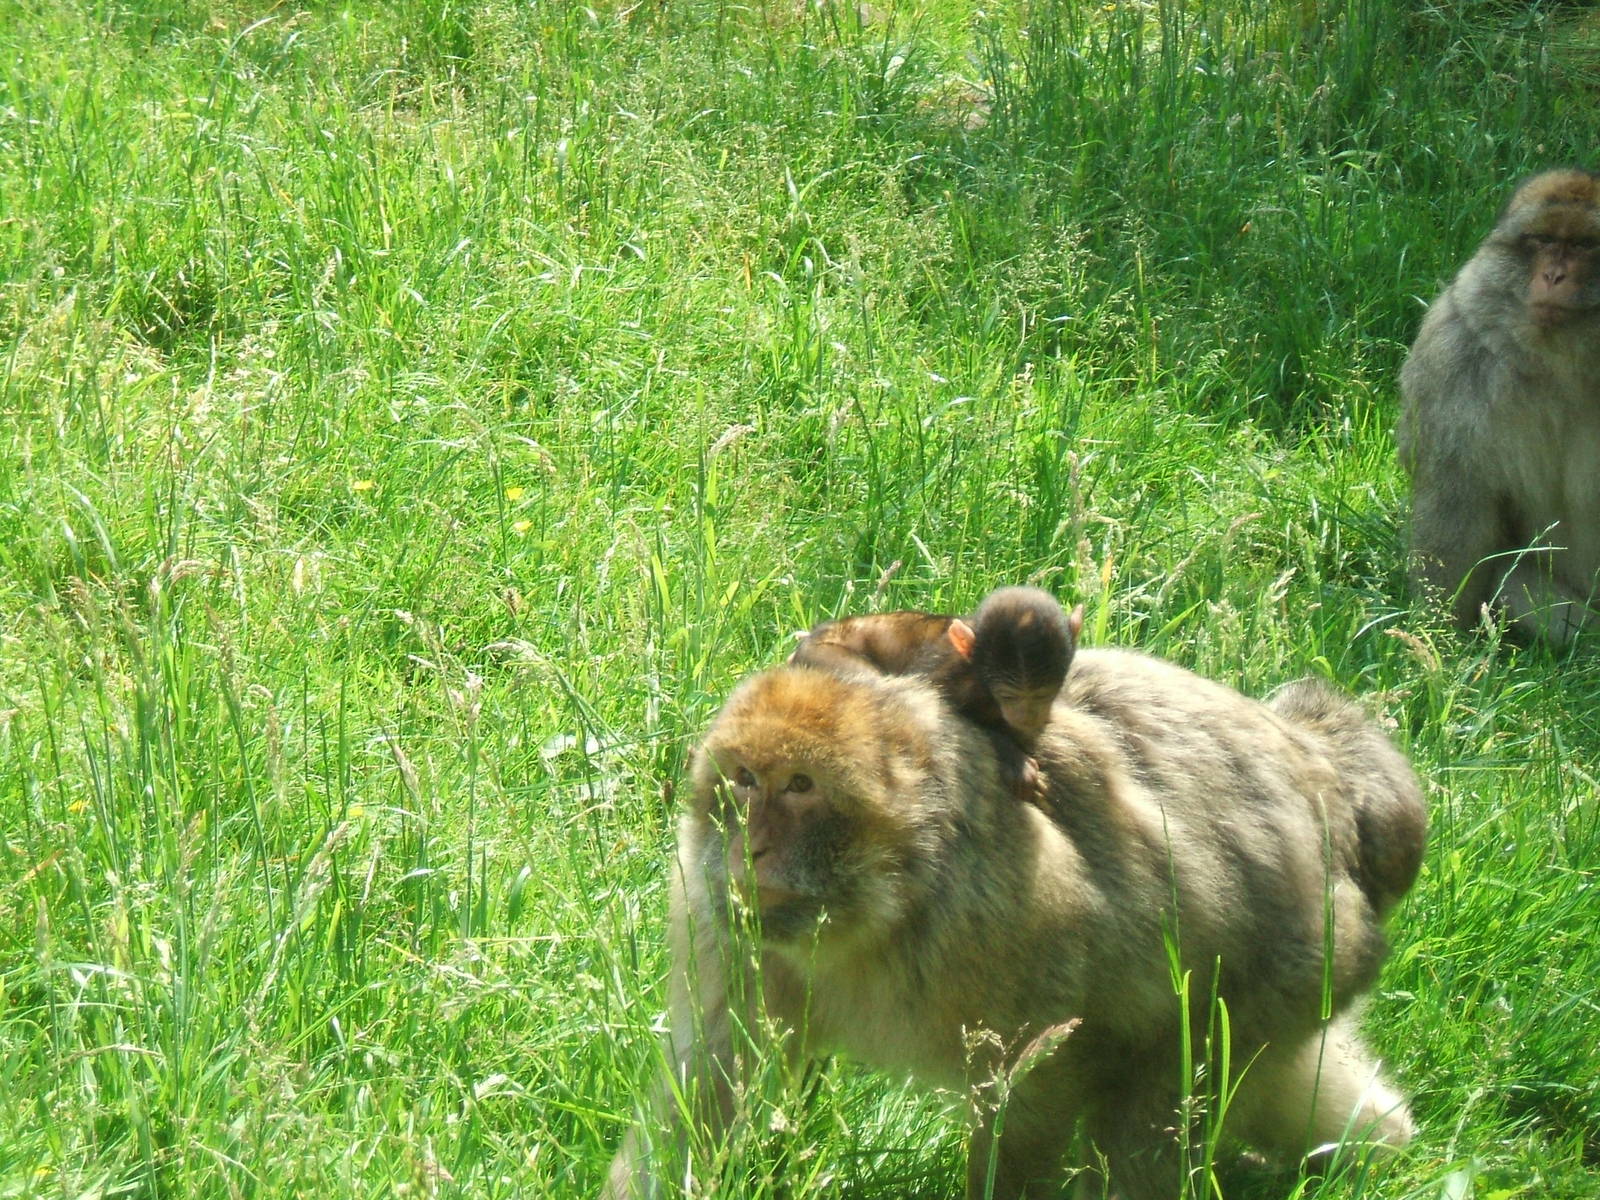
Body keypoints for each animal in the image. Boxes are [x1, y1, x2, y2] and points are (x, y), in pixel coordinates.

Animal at [601, 648, 1425, 1199]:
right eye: (745, 780)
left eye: (800, 786)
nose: (753, 845)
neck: (877, 915)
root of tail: (1326, 772)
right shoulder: (717, 916)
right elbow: (707, 1078)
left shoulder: (1004, 919)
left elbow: (1035, 1085)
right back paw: (1379, 1146)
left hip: (1293, 965)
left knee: (1159, 1102)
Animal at [789, 586, 1084, 802]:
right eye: (1010, 695)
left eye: (1043, 694)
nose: (1028, 715)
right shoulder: (949, 670)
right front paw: (1014, 760)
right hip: (823, 656)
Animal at [1398, 167, 1600, 644]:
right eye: (1542, 240)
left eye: (1586, 245)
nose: (1554, 276)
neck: (1566, 364)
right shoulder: (1454, 355)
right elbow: (1457, 498)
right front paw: (1441, 639)